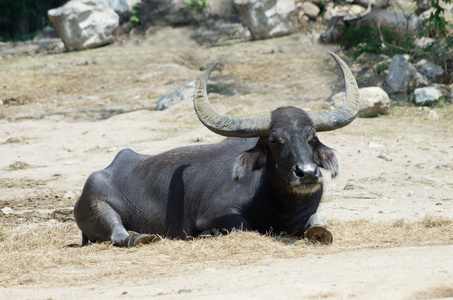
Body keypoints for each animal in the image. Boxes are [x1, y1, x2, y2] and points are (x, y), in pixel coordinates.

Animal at [74, 52, 358, 247]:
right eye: (275, 140)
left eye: (312, 137)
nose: (307, 173)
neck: (275, 201)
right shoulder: (216, 214)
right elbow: (243, 225)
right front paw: (209, 233)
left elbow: (318, 223)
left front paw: (319, 231)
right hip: (99, 205)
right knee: (117, 233)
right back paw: (139, 237)